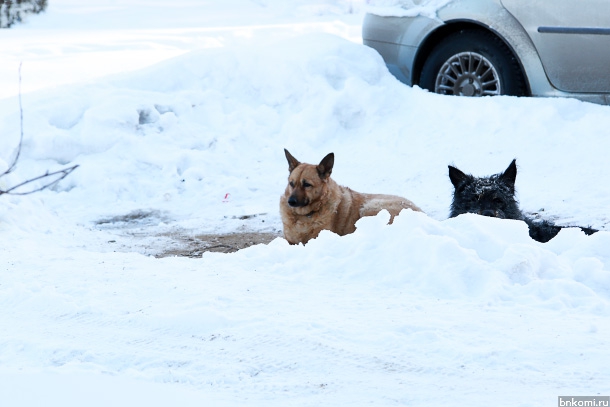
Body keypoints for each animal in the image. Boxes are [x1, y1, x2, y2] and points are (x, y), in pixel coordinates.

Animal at [278, 150, 420, 245]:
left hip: (369, 207)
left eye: (307, 184)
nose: (291, 202)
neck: (305, 215)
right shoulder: (289, 240)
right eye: (291, 183)